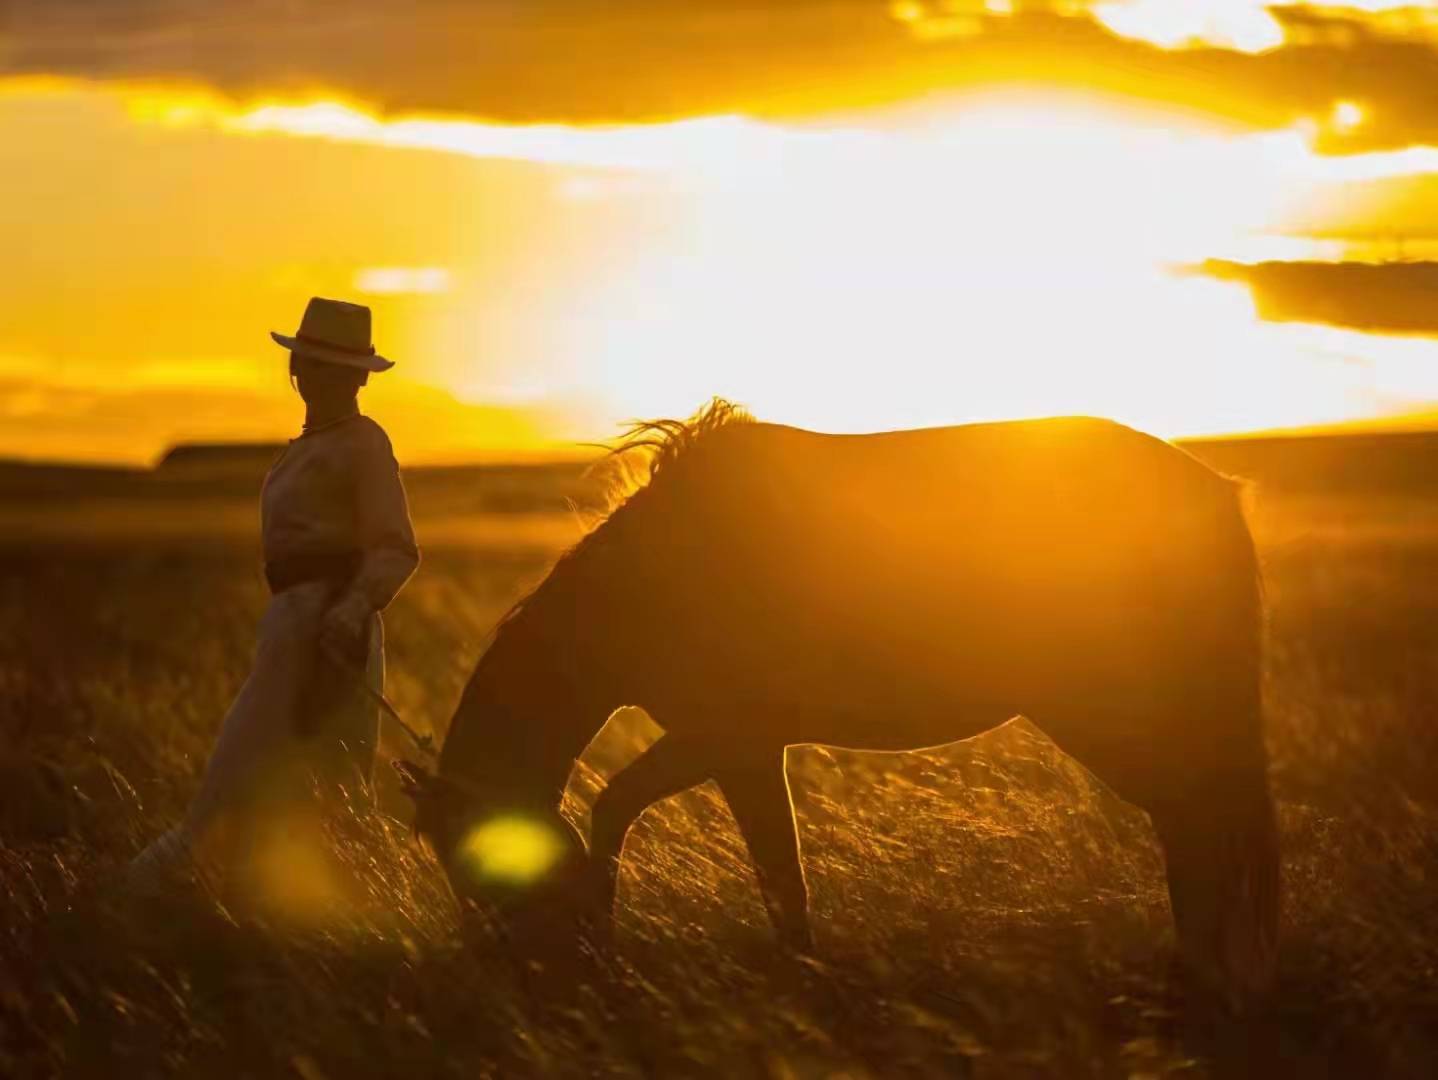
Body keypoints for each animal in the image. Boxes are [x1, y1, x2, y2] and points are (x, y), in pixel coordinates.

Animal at [396, 402, 1282, 1012]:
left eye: (477, 870)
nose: (521, 977)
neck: (651, 582)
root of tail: (1215, 492)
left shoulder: (729, 740)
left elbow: (685, 834)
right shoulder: (732, 745)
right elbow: (761, 861)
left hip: (1114, 710)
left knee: (1195, 822)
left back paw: (1191, 985)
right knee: (1200, 824)